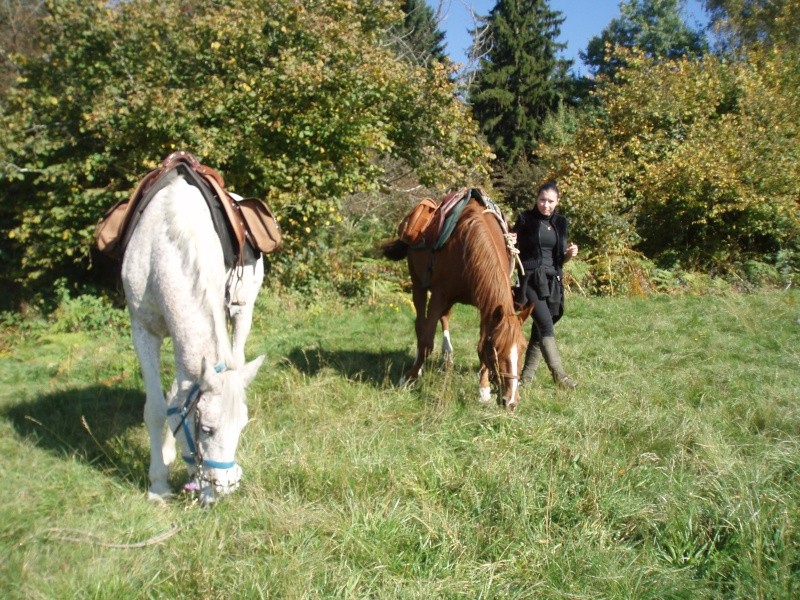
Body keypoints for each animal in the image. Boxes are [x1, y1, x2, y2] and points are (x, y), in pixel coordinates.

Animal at [122, 170, 264, 506]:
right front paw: (158, 483)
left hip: (243, 310)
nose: (225, 487)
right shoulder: (143, 331)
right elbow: (158, 407)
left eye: (242, 427)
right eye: (207, 429)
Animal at [382, 199, 532, 410]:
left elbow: (480, 345)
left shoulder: (486, 307)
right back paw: (419, 368)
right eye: (496, 348)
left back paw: (447, 354)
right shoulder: (438, 294)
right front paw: (409, 378)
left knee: (444, 318)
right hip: (418, 284)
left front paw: (484, 390)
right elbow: (427, 342)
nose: (510, 401)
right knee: (421, 324)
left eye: (523, 348)